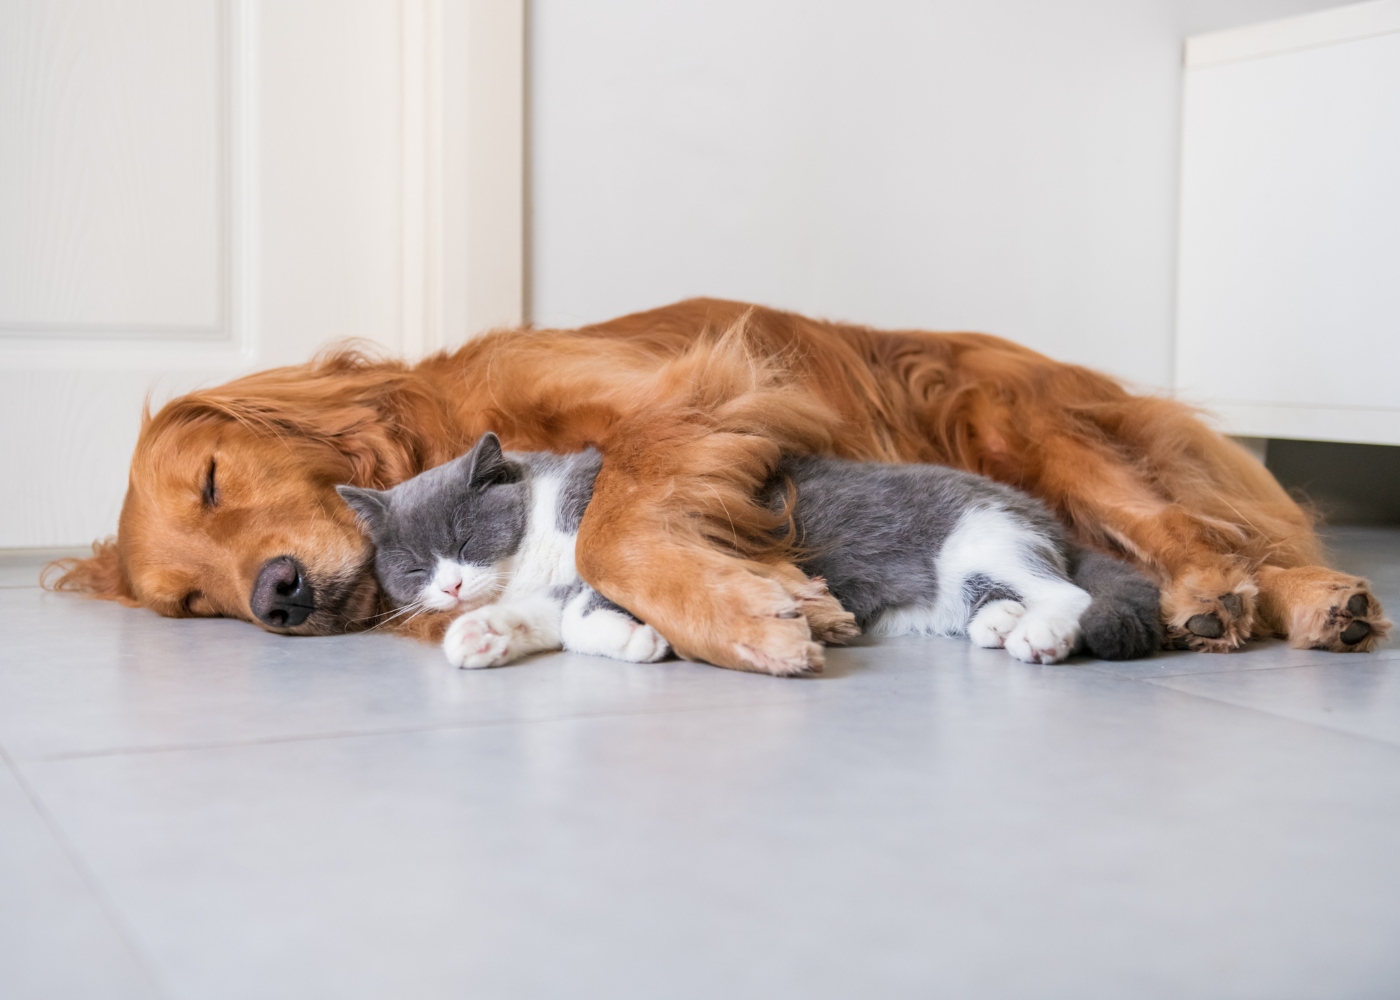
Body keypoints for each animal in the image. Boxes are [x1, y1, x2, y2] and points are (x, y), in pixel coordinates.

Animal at [336, 431, 1159, 666]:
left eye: (463, 538)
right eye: (412, 566)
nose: (448, 588)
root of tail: (1041, 510)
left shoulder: (633, 544)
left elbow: (582, 610)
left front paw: (639, 639)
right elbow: (547, 620)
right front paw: (480, 636)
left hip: (981, 539)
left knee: (1070, 593)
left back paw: (1040, 634)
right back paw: (1000, 624)